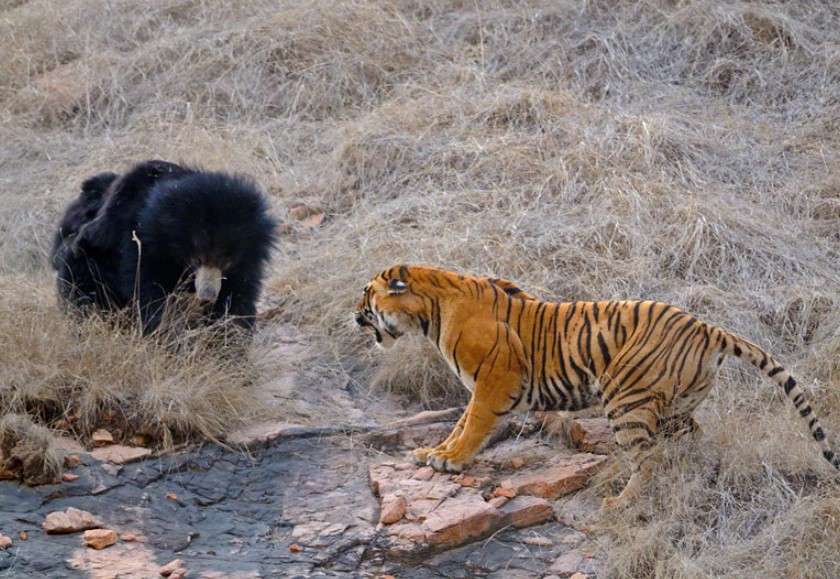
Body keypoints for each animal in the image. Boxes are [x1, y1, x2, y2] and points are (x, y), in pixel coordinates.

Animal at [50, 161, 278, 336]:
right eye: (197, 259)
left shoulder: (246, 264)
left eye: (226, 262)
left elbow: (238, 297)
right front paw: (172, 336)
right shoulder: (142, 245)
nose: (207, 297)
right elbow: (150, 292)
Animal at [354, 266, 840, 510]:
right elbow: (459, 424)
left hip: (625, 399)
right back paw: (693, 478)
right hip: (675, 407)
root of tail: (707, 327)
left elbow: (472, 424)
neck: (430, 313)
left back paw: (619, 504)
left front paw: (450, 460)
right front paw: (432, 452)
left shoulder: (495, 381)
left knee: (647, 461)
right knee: (688, 442)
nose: (354, 315)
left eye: (366, 295)